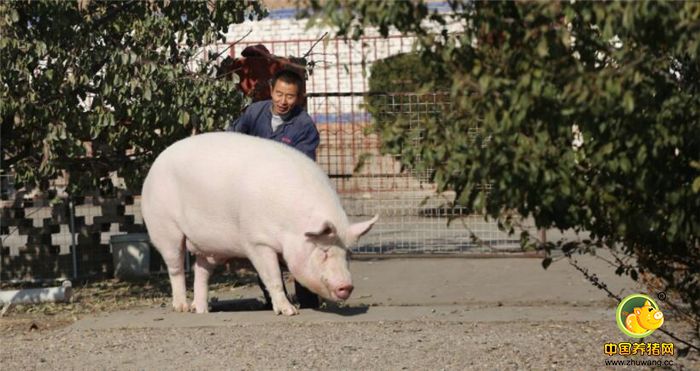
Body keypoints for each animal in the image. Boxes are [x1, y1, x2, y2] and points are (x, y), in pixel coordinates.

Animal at [141, 132, 378, 316]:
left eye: (348, 254)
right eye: (324, 251)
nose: (347, 286)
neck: (291, 225)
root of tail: (156, 163)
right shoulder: (257, 242)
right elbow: (272, 277)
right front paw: (289, 312)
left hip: (210, 247)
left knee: (201, 271)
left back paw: (201, 310)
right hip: (165, 229)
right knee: (176, 267)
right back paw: (180, 307)